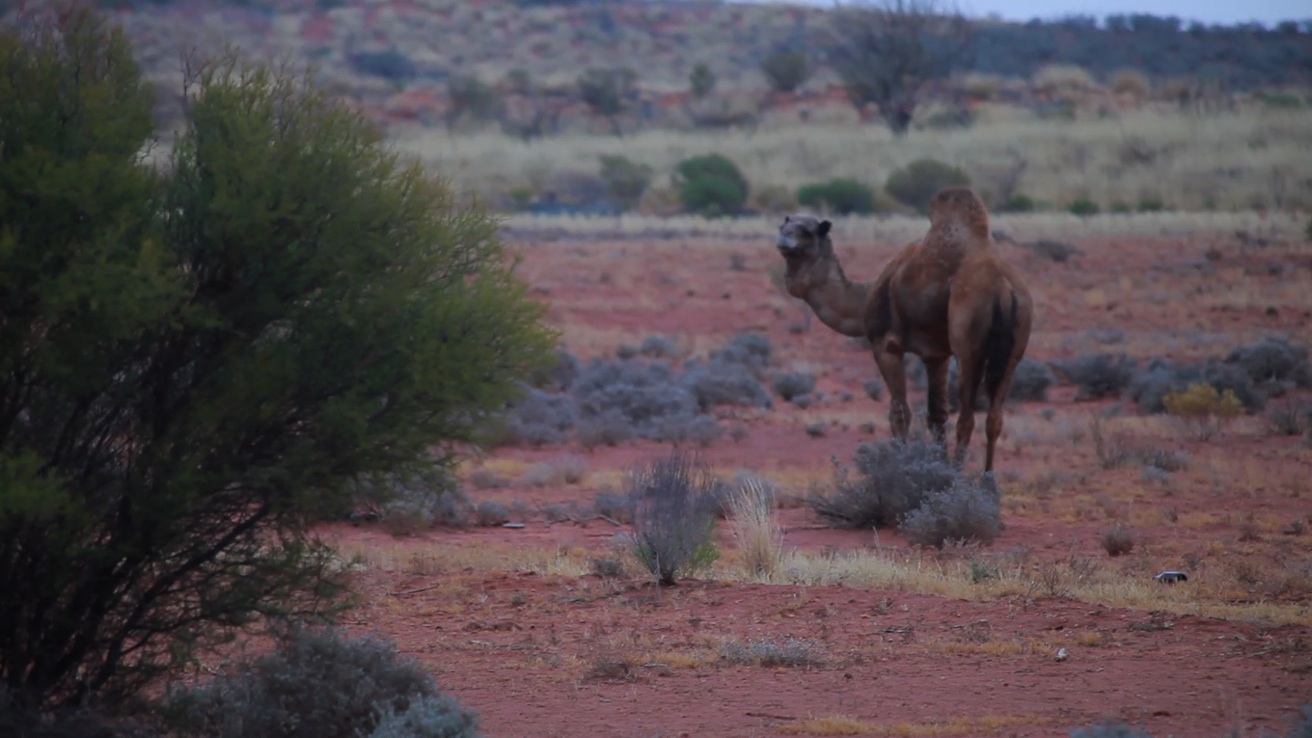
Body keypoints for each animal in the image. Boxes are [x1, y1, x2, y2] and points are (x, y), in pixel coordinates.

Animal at [774, 187, 1033, 472]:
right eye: (783, 226)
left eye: (807, 231)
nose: (783, 239)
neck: (864, 297)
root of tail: (1004, 290)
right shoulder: (936, 354)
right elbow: (937, 415)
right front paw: (937, 467)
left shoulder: (885, 345)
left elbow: (899, 413)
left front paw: (902, 465)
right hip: (1016, 344)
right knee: (994, 417)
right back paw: (987, 478)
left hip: (968, 340)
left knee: (967, 417)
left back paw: (959, 473)